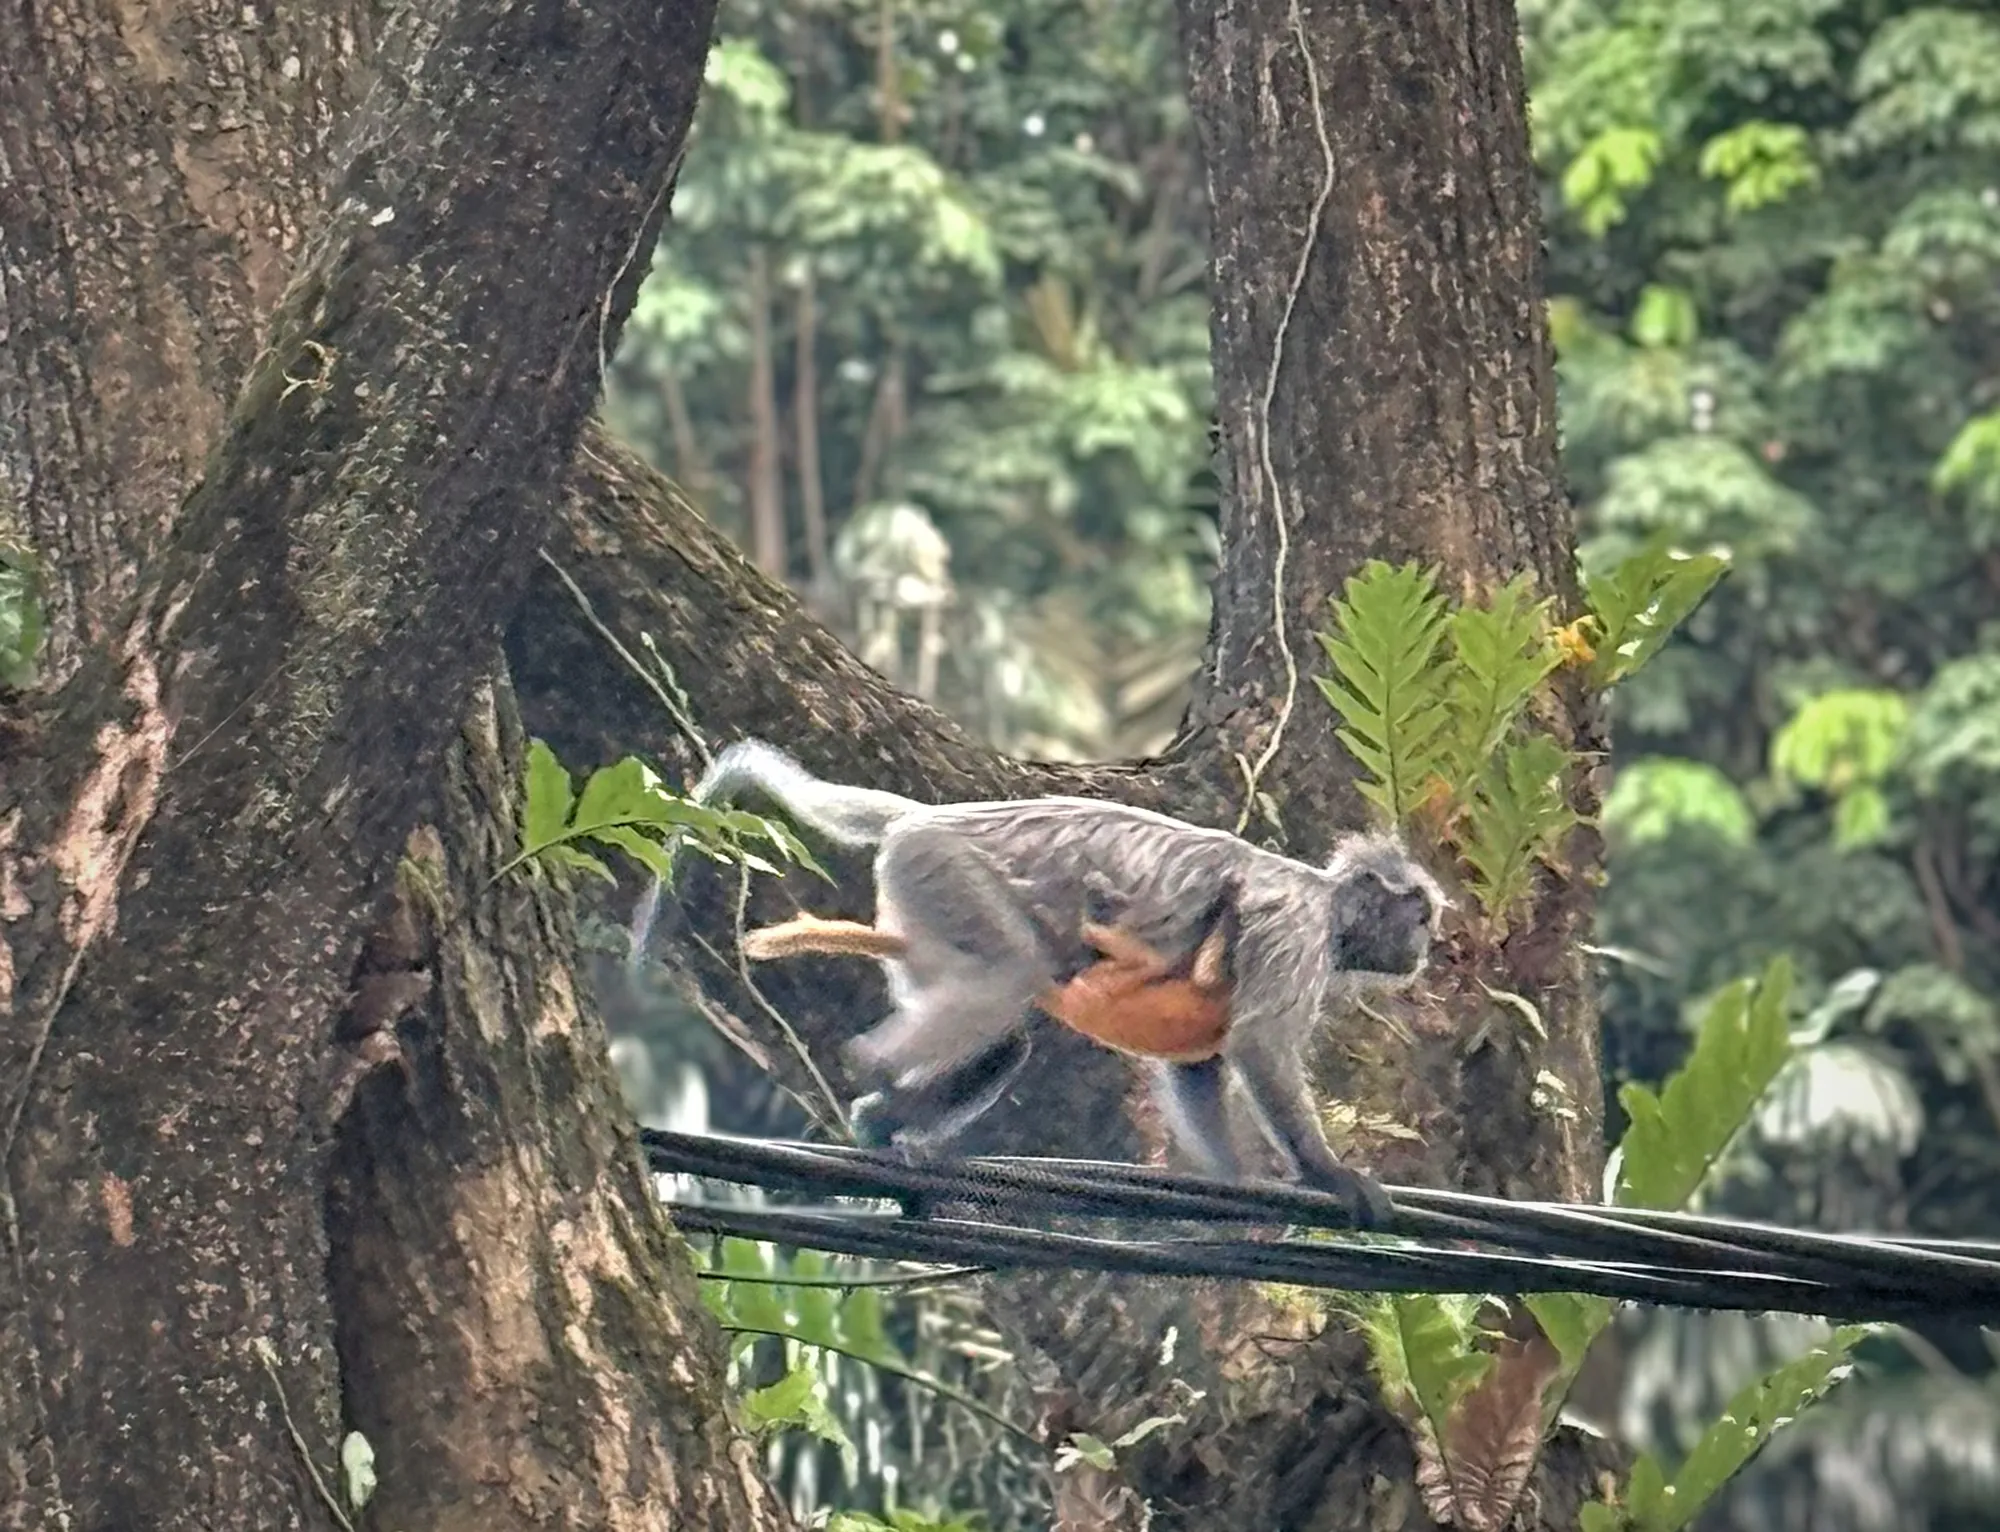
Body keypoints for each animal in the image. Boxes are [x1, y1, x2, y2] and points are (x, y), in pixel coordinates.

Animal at [688, 739, 1448, 1228]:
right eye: (1419, 916)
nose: (1424, 947)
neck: (1324, 899)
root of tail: (926, 816)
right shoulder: (1296, 925)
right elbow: (1258, 1044)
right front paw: (1330, 1177)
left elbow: (1196, 1066)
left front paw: (1234, 1190)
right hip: (945, 871)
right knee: (1005, 984)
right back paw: (869, 1073)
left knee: (1005, 1035)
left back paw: (882, 1122)